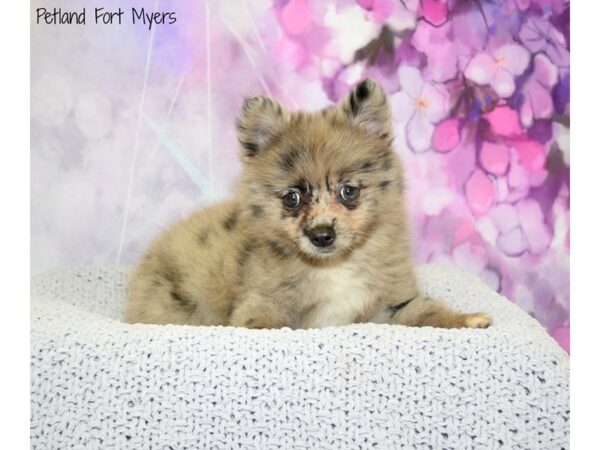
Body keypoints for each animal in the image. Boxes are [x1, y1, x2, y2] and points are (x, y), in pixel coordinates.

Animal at [124, 77, 490, 328]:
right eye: (292, 198)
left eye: (348, 192)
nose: (322, 235)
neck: (334, 266)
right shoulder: (259, 305)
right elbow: (272, 324)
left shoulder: (396, 302)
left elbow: (429, 312)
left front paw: (467, 319)